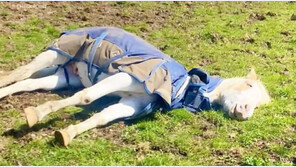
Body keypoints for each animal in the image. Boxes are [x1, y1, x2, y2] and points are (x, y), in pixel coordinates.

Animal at [0, 26, 270, 145]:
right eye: (248, 85)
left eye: (259, 105)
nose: (244, 112)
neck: (180, 86)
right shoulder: (126, 76)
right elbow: (87, 97)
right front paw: (38, 114)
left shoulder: (134, 102)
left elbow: (103, 116)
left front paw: (67, 133)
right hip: (58, 52)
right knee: (21, 71)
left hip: (66, 75)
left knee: (29, 82)